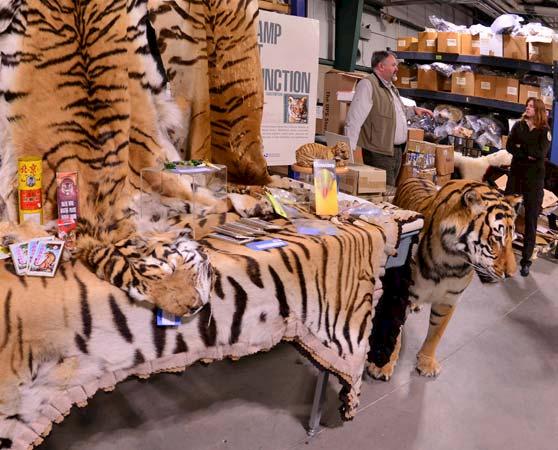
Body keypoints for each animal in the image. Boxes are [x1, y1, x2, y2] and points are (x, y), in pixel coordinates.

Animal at [370, 178, 524, 380]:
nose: (512, 274)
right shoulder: (401, 293)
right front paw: (382, 365)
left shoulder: (449, 300)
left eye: (512, 239)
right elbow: (393, 330)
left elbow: (437, 333)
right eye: (495, 239)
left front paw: (426, 362)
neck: (450, 263)